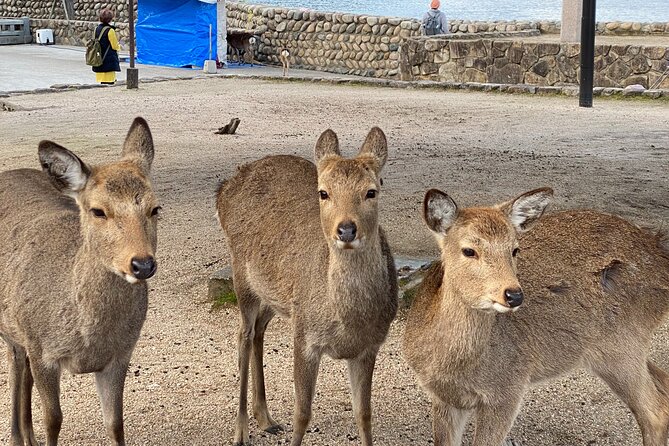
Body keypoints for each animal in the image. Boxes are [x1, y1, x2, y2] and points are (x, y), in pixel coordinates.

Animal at [0, 116, 160, 444]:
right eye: (98, 210)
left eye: (155, 208)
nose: (142, 264)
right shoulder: (43, 350)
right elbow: (53, 420)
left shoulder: (121, 355)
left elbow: (115, 423)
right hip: (12, 329)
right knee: (15, 367)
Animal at [218, 127, 396, 444]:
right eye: (323, 192)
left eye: (372, 191)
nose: (346, 229)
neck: (348, 321)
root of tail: (224, 190)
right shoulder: (304, 337)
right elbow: (302, 414)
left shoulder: (369, 346)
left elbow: (364, 415)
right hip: (242, 275)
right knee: (243, 335)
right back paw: (241, 430)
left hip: (278, 298)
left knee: (258, 332)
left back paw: (266, 419)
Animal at [402, 188, 668, 446]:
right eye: (469, 250)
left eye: (514, 249)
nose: (514, 295)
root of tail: (659, 256)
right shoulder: (444, 397)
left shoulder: (509, 388)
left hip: (621, 345)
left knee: (655, 411)